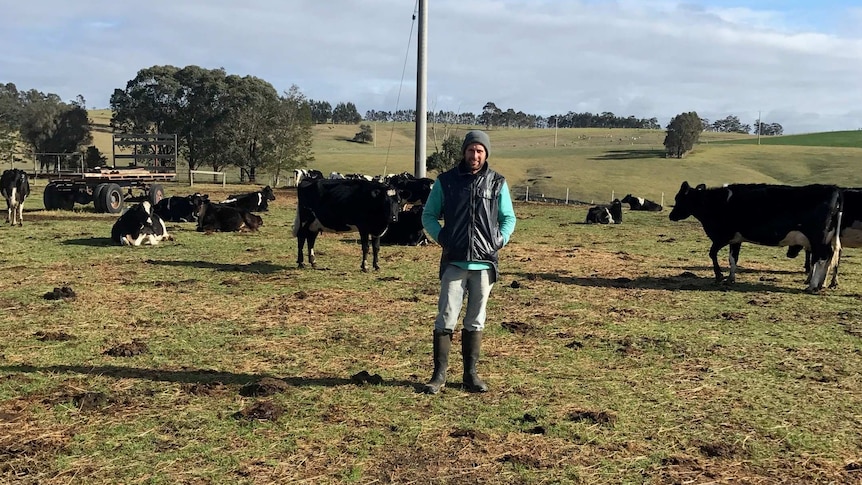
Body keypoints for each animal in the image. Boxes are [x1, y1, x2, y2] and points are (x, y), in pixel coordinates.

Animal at [668, 180, 844, 290]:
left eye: (679, 199)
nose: (671, 215)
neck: (718, 202)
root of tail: (834, 190)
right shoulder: (735, 239)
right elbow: (733, 258)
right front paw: (730, 278)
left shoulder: (722, 236)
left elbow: (712, 253)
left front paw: (719, 276)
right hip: (825, 240)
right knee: (827, 257)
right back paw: (819, 285)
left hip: (818, 238)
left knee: (821, 259)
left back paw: (813, 286)